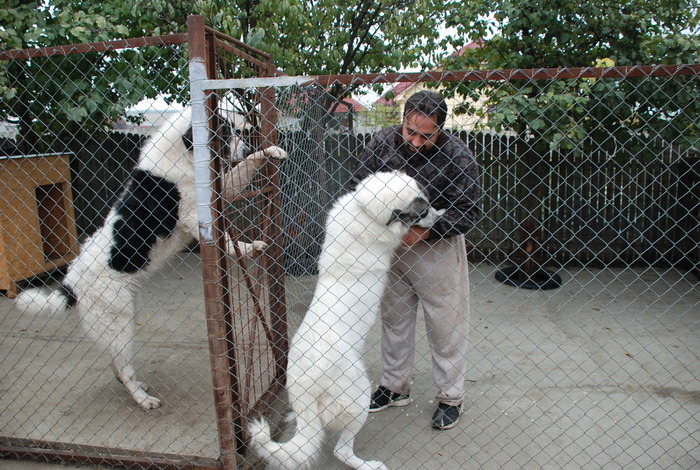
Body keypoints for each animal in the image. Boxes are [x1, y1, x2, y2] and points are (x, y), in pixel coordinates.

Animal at [15, 108, 288, 410]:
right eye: (225, 132)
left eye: (239, 132)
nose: (247, 147)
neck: (182, 152)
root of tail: (71, 281)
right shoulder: (194, 215)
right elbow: (226, 241)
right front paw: (246, 249)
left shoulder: (221, 191)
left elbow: (245, 168)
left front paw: (270, 151)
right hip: (118, 323)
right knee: (122, 367)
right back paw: (143, 399)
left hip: (122, 317)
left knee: (116, 364)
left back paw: (136, 388)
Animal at [246, 172, 442, 470]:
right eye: (421, 211)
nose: (438, 219)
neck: (364, 210)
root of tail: (307, 387)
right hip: (358, 397)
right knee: (342, 450)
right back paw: (366, 464)